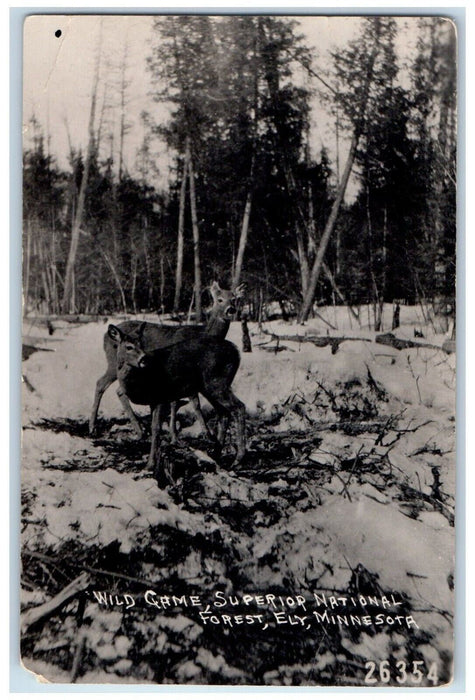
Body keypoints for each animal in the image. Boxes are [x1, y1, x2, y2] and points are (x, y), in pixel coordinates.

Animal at [89, 281, 245, 440]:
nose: (230, 310)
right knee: (102, 383)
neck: (204, 332)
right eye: (219, 299)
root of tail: (105, 336)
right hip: (114, 363)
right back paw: (94, 427)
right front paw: (186, 433)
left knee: (115, 388)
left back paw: (137, 429)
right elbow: (189, 402)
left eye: (234, 299)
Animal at [107, 323, 246, 474]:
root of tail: (237, 352)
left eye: (142, 344)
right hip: (208, 387)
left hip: (217, 382)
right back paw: (216, 453)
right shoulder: (153, 401)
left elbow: (156, 429)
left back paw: (238, 459)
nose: (144, 359)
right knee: (224, 413)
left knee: (239, 407)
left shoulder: (160, 396)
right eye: (129, 347)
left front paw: (150, 465)